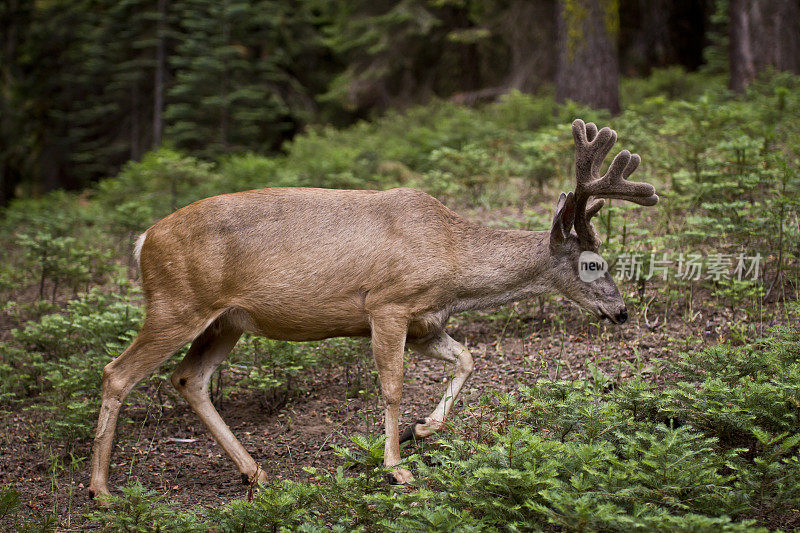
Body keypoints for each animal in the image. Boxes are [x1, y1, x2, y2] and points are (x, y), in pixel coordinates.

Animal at [90, 118, 660, 496]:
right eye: (593, 264)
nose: (622, 312)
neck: (452, 262)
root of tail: (143, 242)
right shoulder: (387, 305)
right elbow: (391, 387)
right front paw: (396, 466)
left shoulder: (427, 322)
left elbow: (469, 358)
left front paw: (424, 429)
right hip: (177, 303)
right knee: (117, 372)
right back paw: (101, 490)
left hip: (226, 321)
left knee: (190, 379)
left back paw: (256, 472)